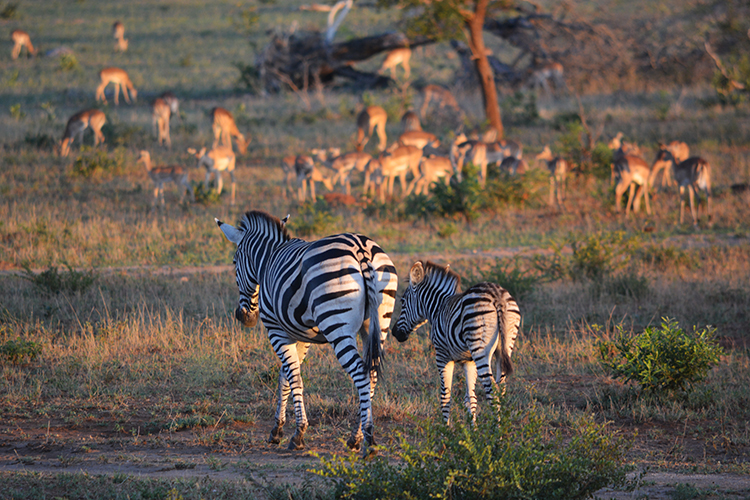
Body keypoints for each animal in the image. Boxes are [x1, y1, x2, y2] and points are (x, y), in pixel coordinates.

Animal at [214, 209, 400, 456]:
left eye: (235, 262)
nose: (244, 317)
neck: (268, 259)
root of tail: (362, 249)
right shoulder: (302, 336)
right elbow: (285, 377)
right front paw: (277, 430)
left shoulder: (277, 331)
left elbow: (294, 377)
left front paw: (298, 434)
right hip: (379, 323)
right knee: (372, 376)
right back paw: (355, 436)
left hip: (337, 324)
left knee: (361, 375)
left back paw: (367, 439)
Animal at [394, 262, 524, 422]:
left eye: (402, 301)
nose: (394, 333)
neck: (438, 308)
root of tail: (497, 295)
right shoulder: (469, 361)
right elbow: (470, 398)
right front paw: (473, 427)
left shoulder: (442, 356)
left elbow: (445, 396)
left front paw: (446, 427)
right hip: (505, 345)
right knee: (502, 389)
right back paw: (503, 424)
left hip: (480, 347)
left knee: (492, 390)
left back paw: (497, 428)